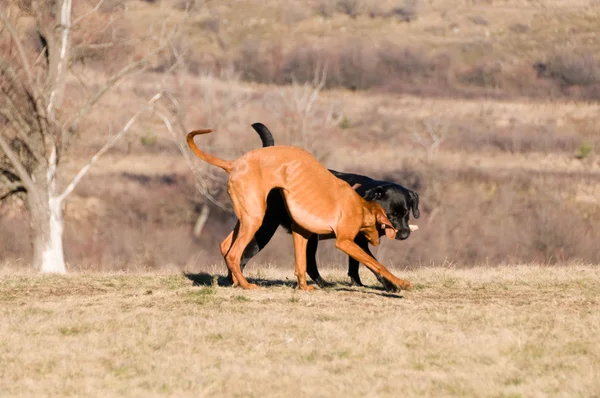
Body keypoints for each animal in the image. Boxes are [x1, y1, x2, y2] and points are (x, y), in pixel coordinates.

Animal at [188, 129, 412, 290]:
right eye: (392, 216)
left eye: (407, 214)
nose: (405, 234)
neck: (359, 203)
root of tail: (234, 164)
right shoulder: (346, 242)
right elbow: (376, 264)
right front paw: (399, 284)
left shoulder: (301, 232)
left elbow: (302, 263)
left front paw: (303, 287)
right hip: (257, 222)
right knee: (235, 254)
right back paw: (245, 284)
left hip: (248, 217)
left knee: (226, 246)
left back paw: (234, 282)